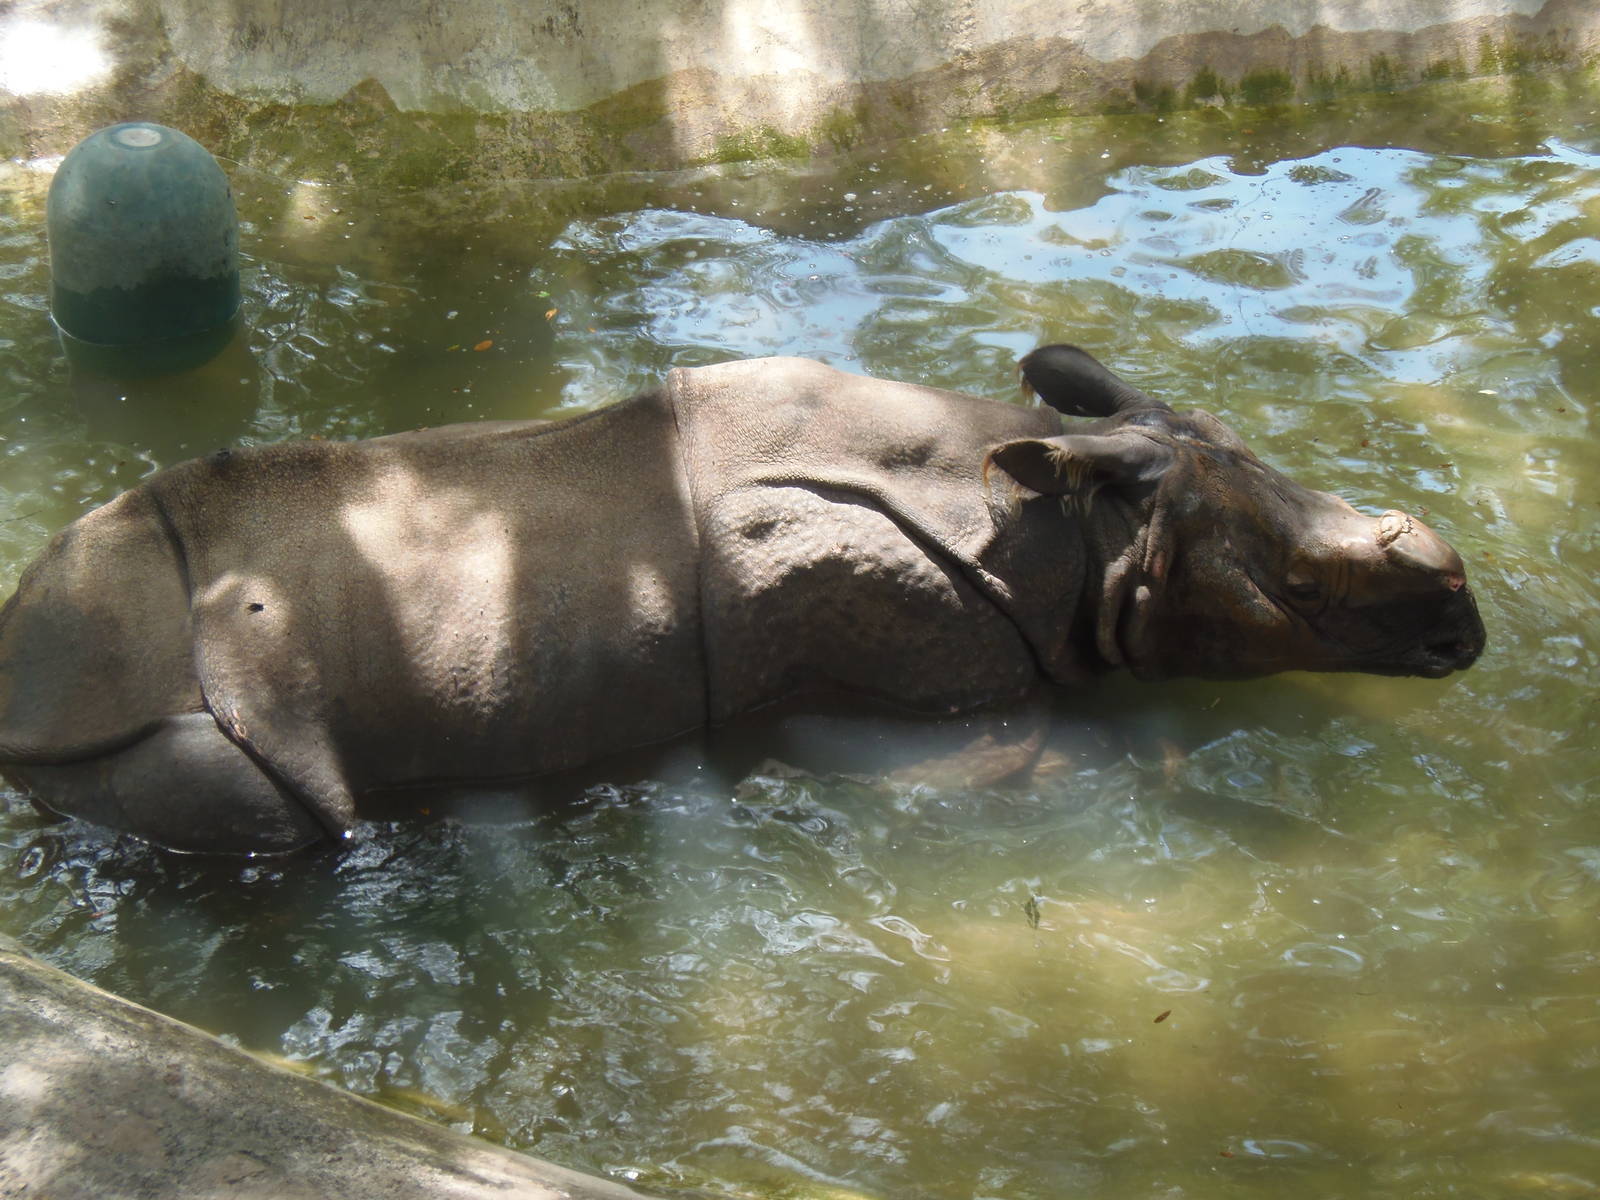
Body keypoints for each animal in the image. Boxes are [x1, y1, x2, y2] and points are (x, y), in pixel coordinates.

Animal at [0, 349, 1484, 853]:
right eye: (1304, 594)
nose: (1463, 635)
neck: (1068, 531)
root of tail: (23, 662)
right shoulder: (916, 689)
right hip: (148, 709)